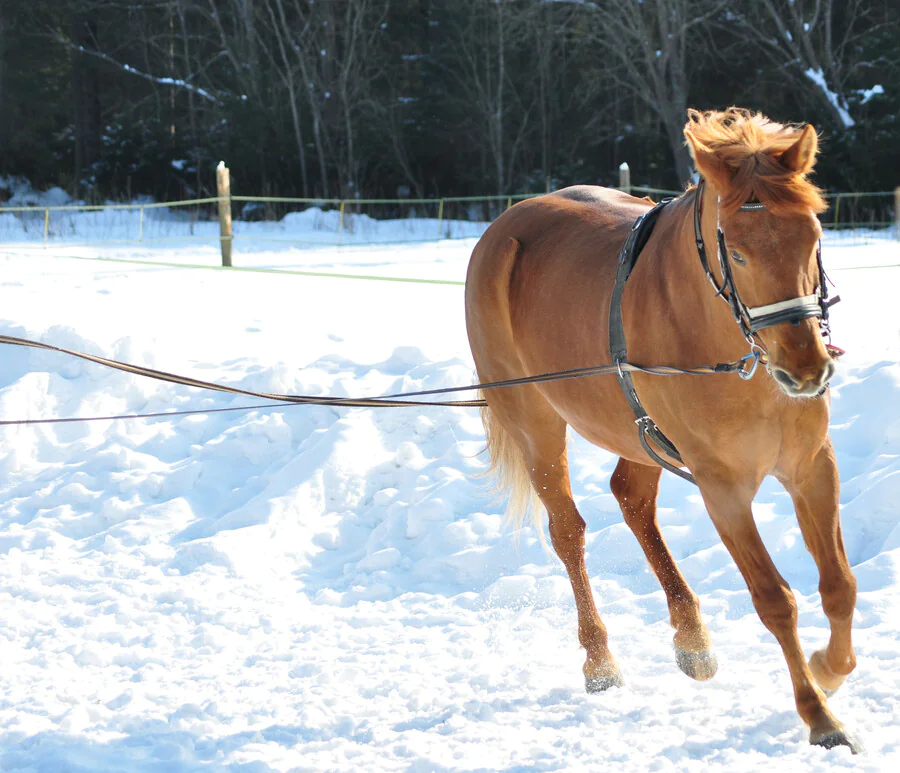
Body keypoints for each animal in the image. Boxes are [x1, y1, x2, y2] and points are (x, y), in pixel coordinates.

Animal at [468, 105, 860, 752]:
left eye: (813, 234)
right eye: (739, 253)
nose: (806, 370)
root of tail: (503, 228)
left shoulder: (812, 467)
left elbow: (839, 585)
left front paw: (829, 670)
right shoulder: (723, 489)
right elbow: (774, 600)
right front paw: (819, 715)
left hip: (640, 434)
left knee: (631, 499)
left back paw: (692, 640)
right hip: (535, 425)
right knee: (568, 532)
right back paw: (600, 661)